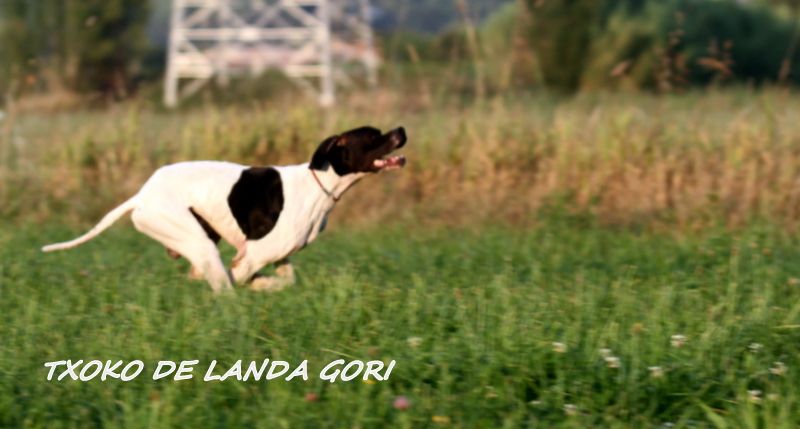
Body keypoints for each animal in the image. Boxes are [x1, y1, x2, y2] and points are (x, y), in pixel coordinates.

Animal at [43, 124, 406, 290]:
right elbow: (239, 276)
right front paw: (253, 284)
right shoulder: (255, 255)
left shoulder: (280, 256)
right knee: (221, 287)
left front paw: (264, 286)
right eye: (372, 136)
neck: (319, 183)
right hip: (198, 242)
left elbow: (285, 280)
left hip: (201, 237)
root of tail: (142, 195)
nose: (401, 130)